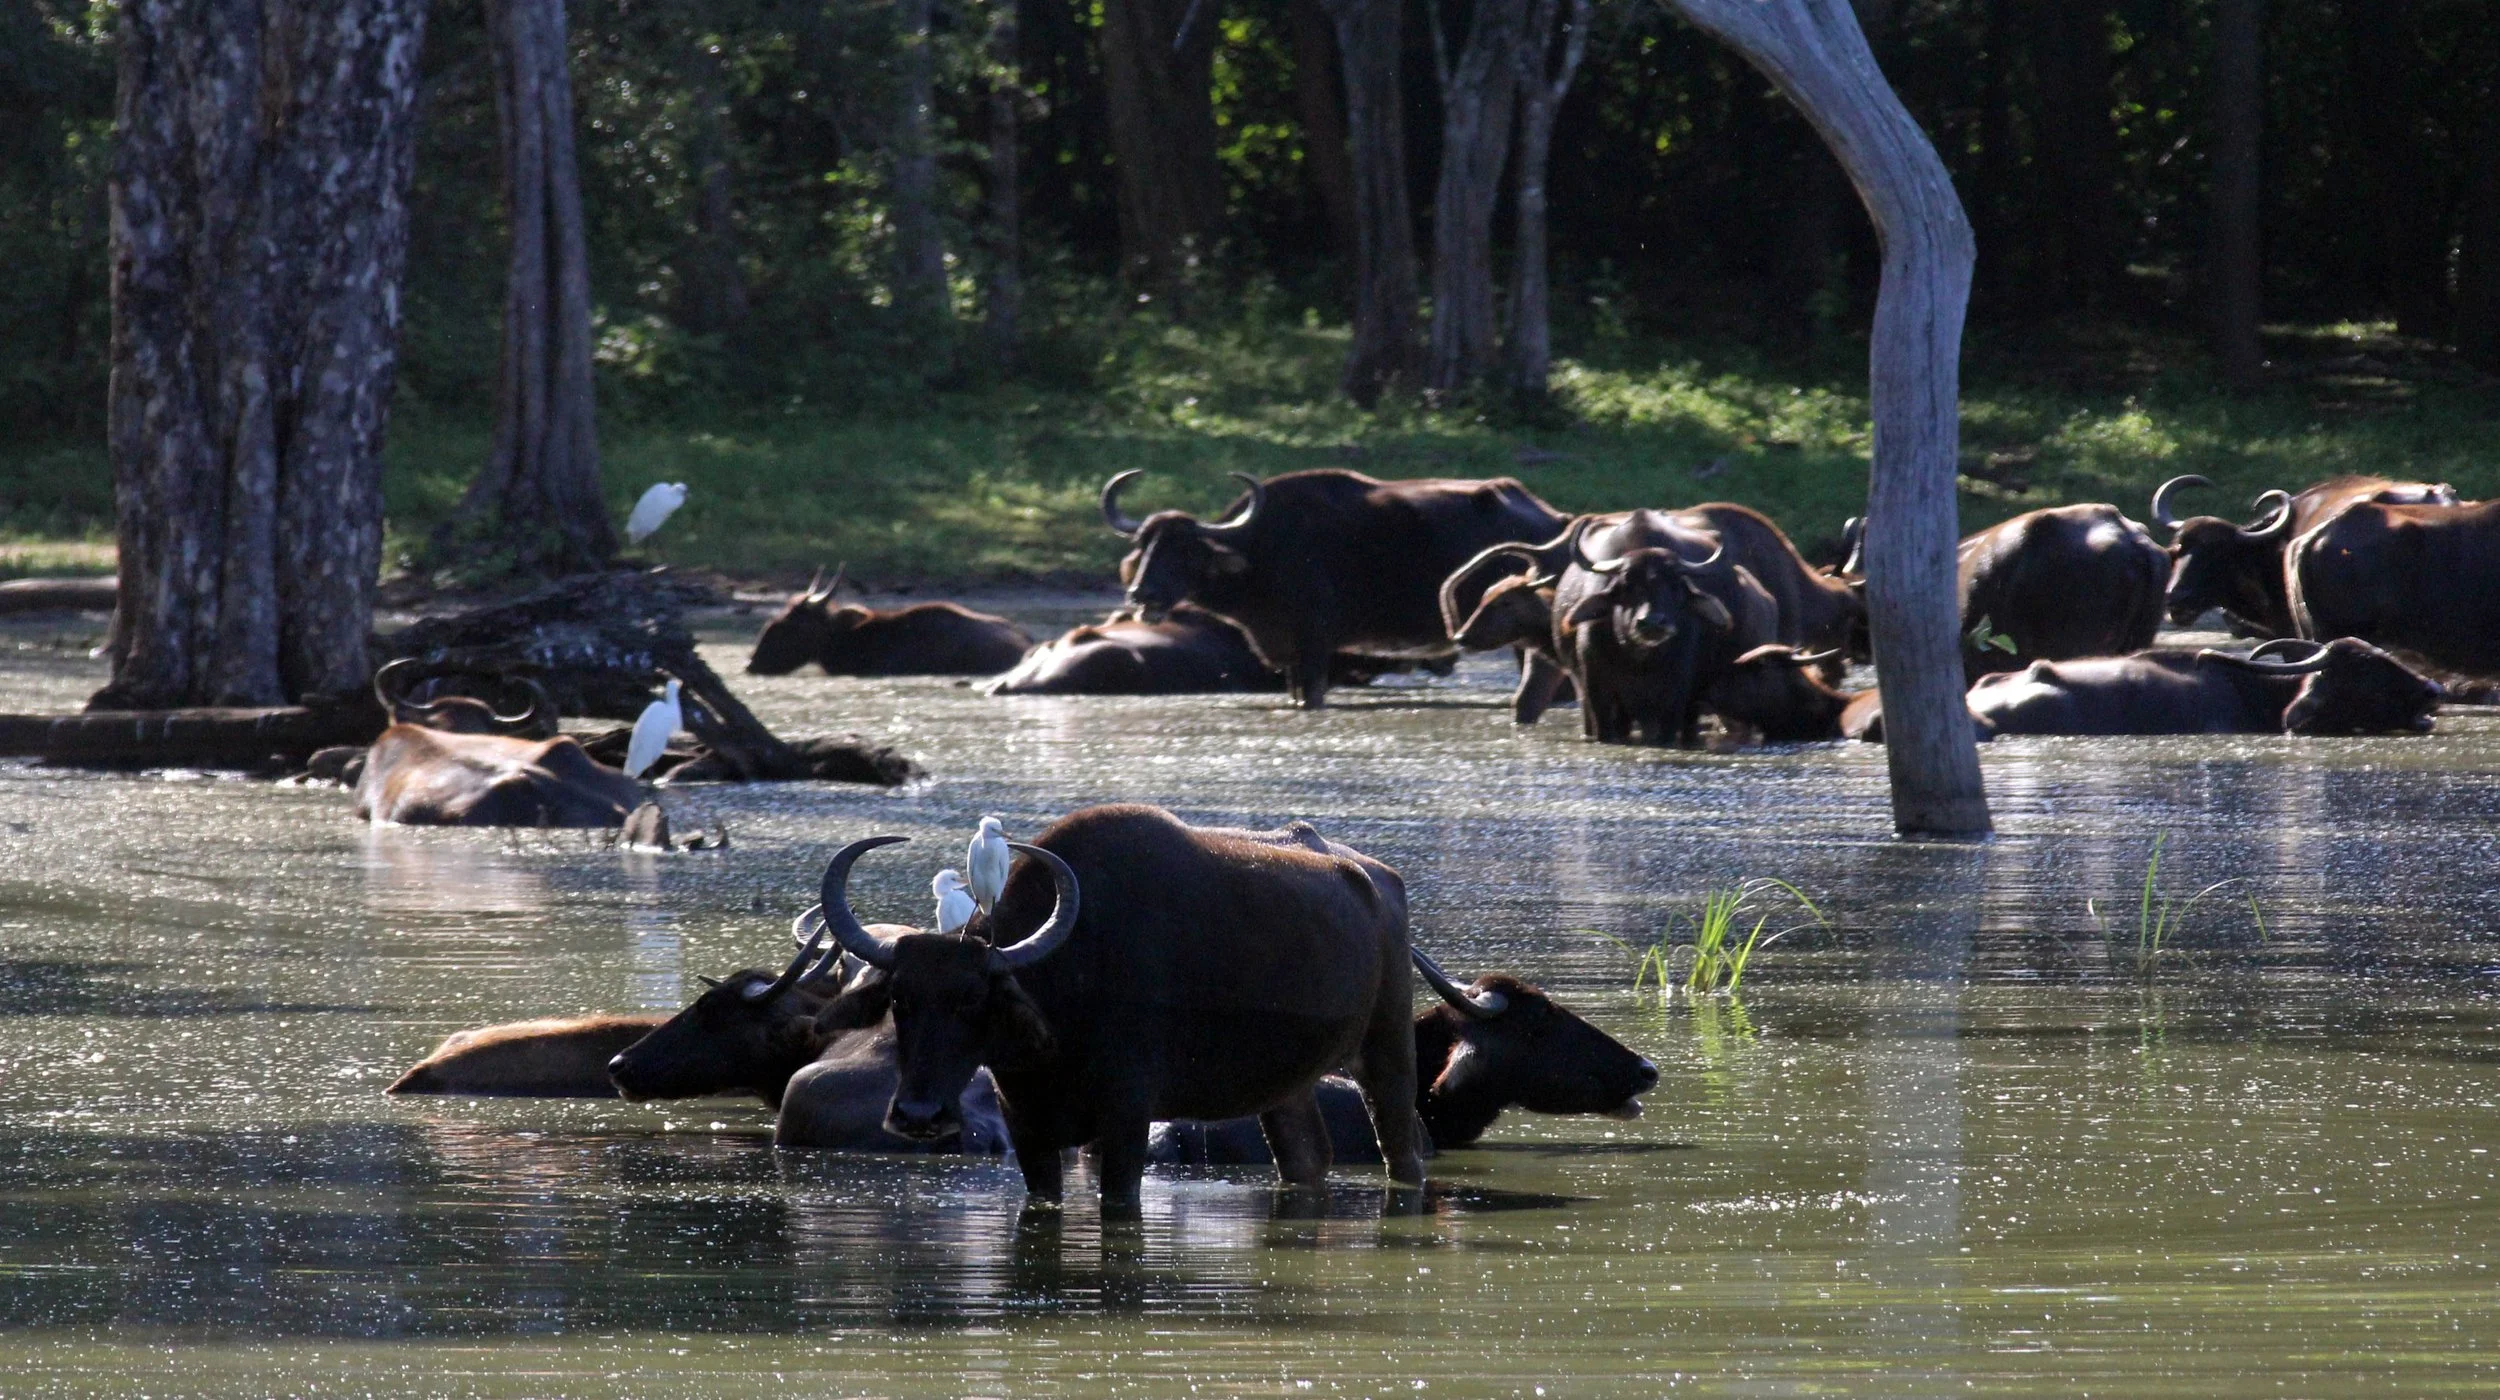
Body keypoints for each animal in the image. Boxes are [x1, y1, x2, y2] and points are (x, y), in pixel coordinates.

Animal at [810, 804, 1428, 1204]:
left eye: (972, 1000)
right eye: (899, 998)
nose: (919, 1115)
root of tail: (1380, 881)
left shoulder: (1128, 1117)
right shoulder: (1028, 1128)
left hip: (1387, 1051)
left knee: (1404, 1150)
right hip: (1286, 1085)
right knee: (1306, 1157)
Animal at [1102, 468, 1568, 707]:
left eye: (1185, 550)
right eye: (1144, 546)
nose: (1142, 594)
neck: (1263, 548)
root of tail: (1554, 521)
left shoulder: (1314, 645)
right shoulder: (1289, 653)